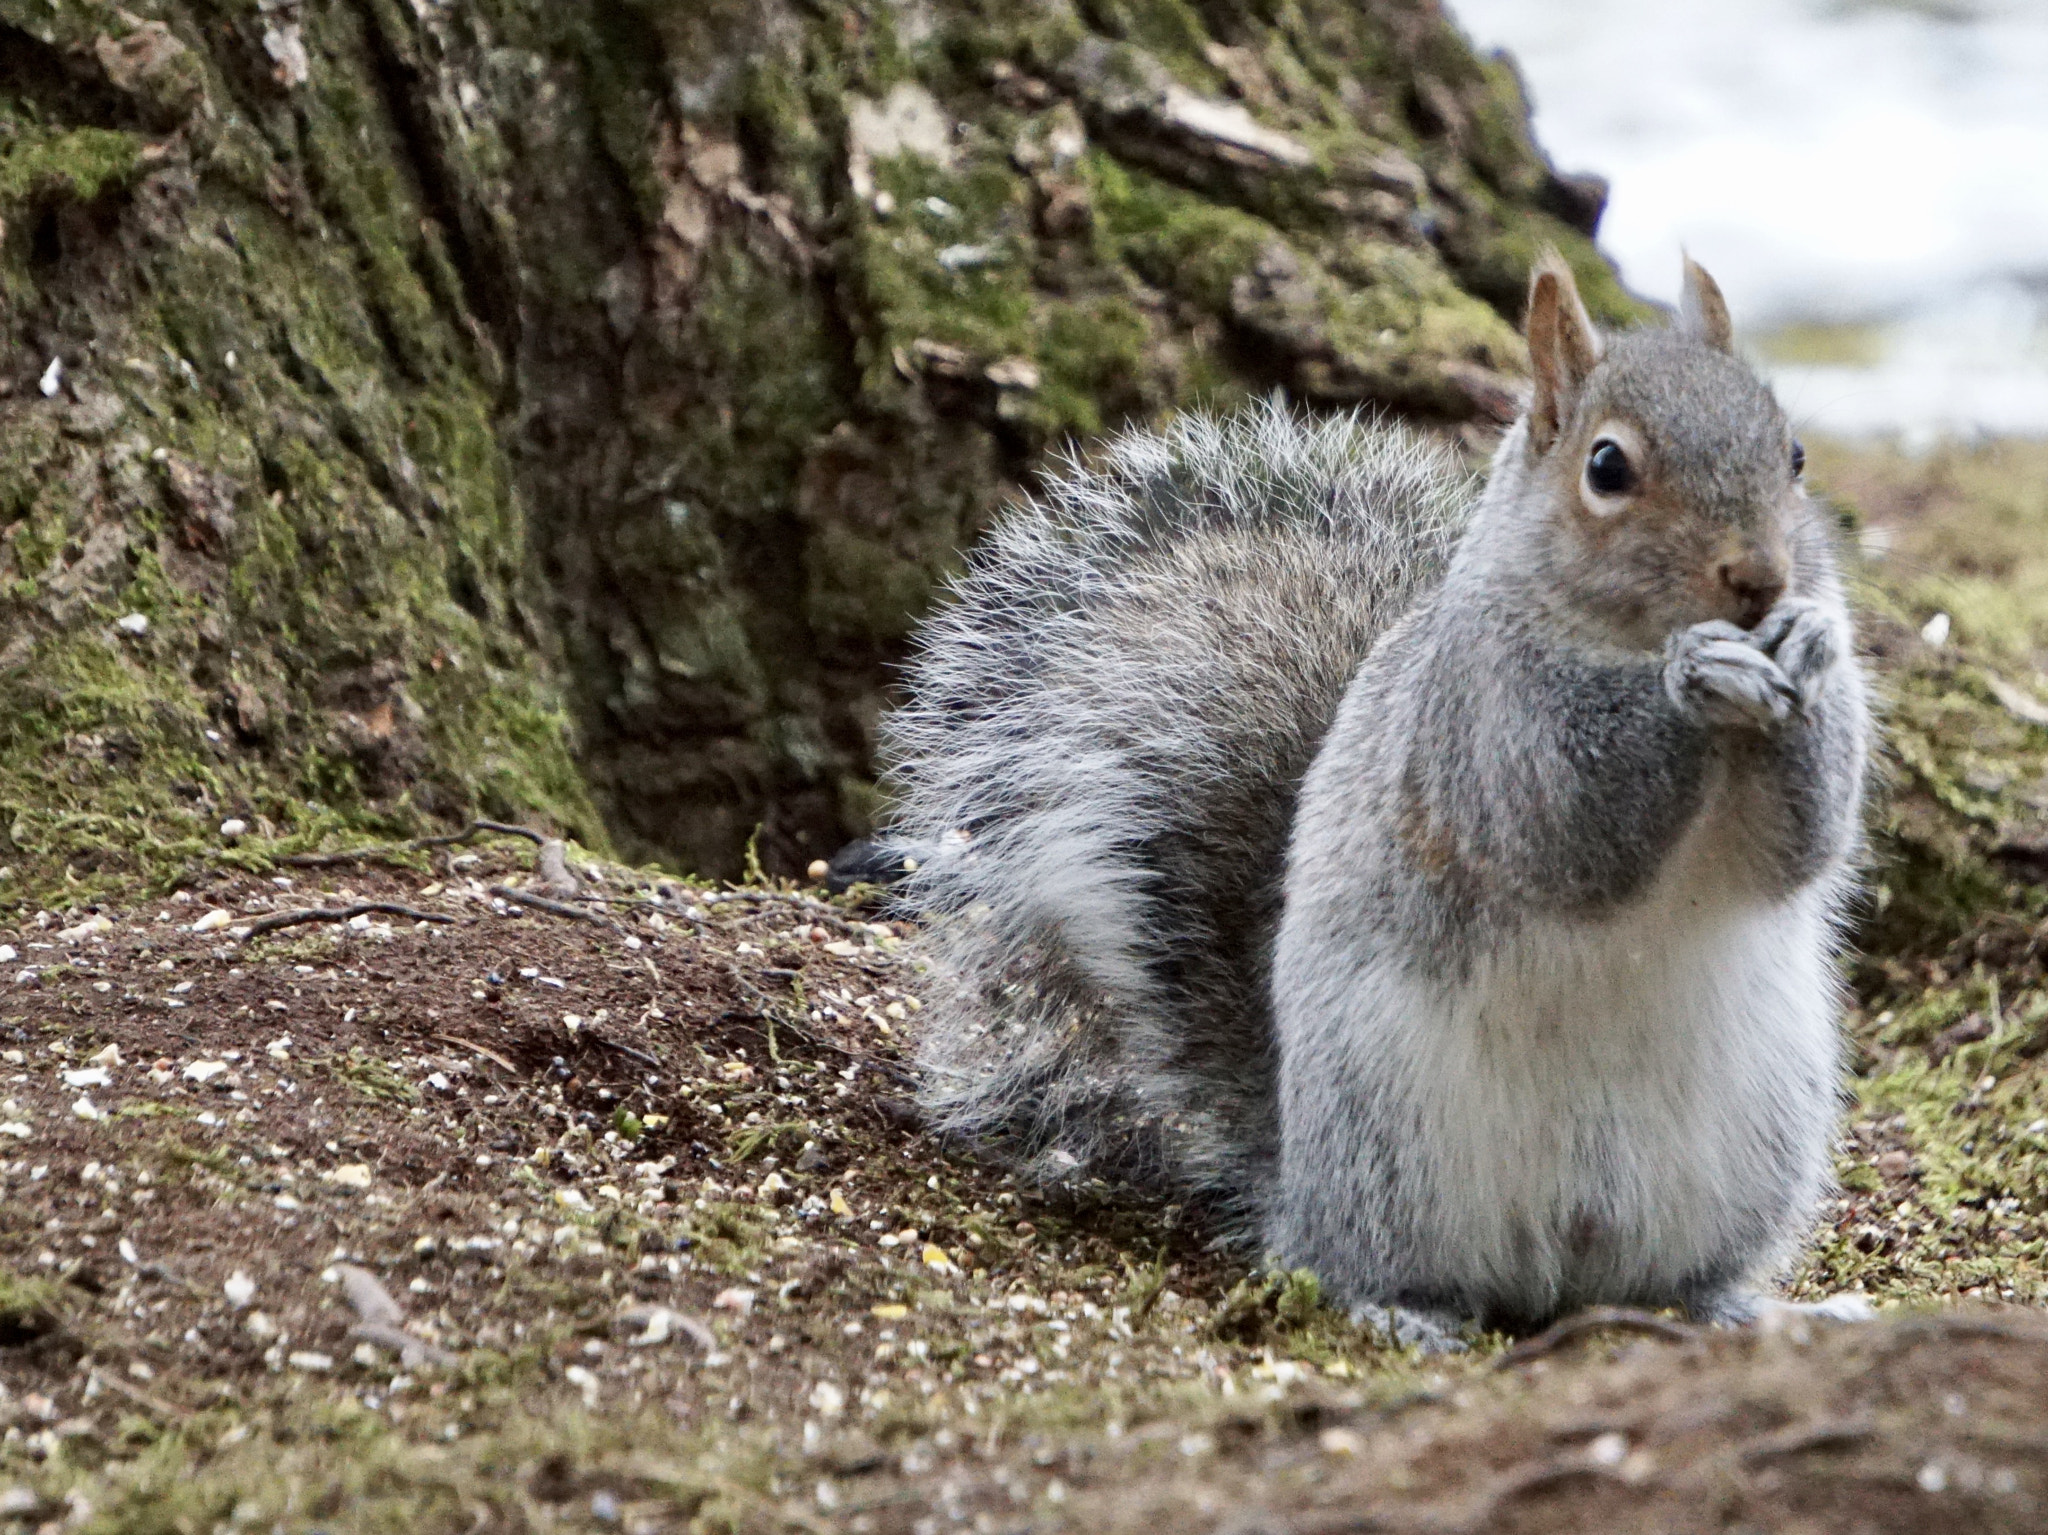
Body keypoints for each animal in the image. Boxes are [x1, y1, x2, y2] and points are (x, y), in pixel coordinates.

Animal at [880, 255, 1875, 1342]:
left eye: (1792, 452)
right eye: (1607, 468)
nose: (1759, 578)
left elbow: (1803, 843)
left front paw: (1808, 647)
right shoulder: (1476, 732)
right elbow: (1568, 831)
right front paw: (1692, 675)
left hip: (1759, 1137)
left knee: (1677, 1274)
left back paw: (1737, 1306)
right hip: (1388, 1140)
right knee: (1351, 1264)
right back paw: (1399, 1308)